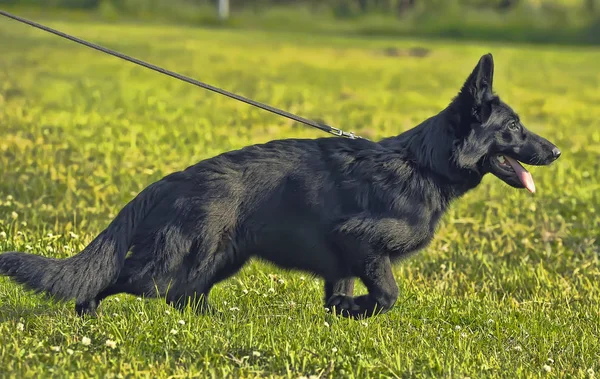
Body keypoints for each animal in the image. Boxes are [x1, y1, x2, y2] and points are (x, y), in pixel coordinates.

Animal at [0, 53, 556, 320]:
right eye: (513, 127)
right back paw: (87, 313)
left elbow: (344, 296)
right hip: (173, 262)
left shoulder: (343, 264)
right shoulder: (362, 244)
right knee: (132, 283)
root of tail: (172, 179)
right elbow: (388, 294)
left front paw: (343, 315)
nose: (556, 152)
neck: (425, 165)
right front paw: (358, 311)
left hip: (222, 257)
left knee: (185, 298)